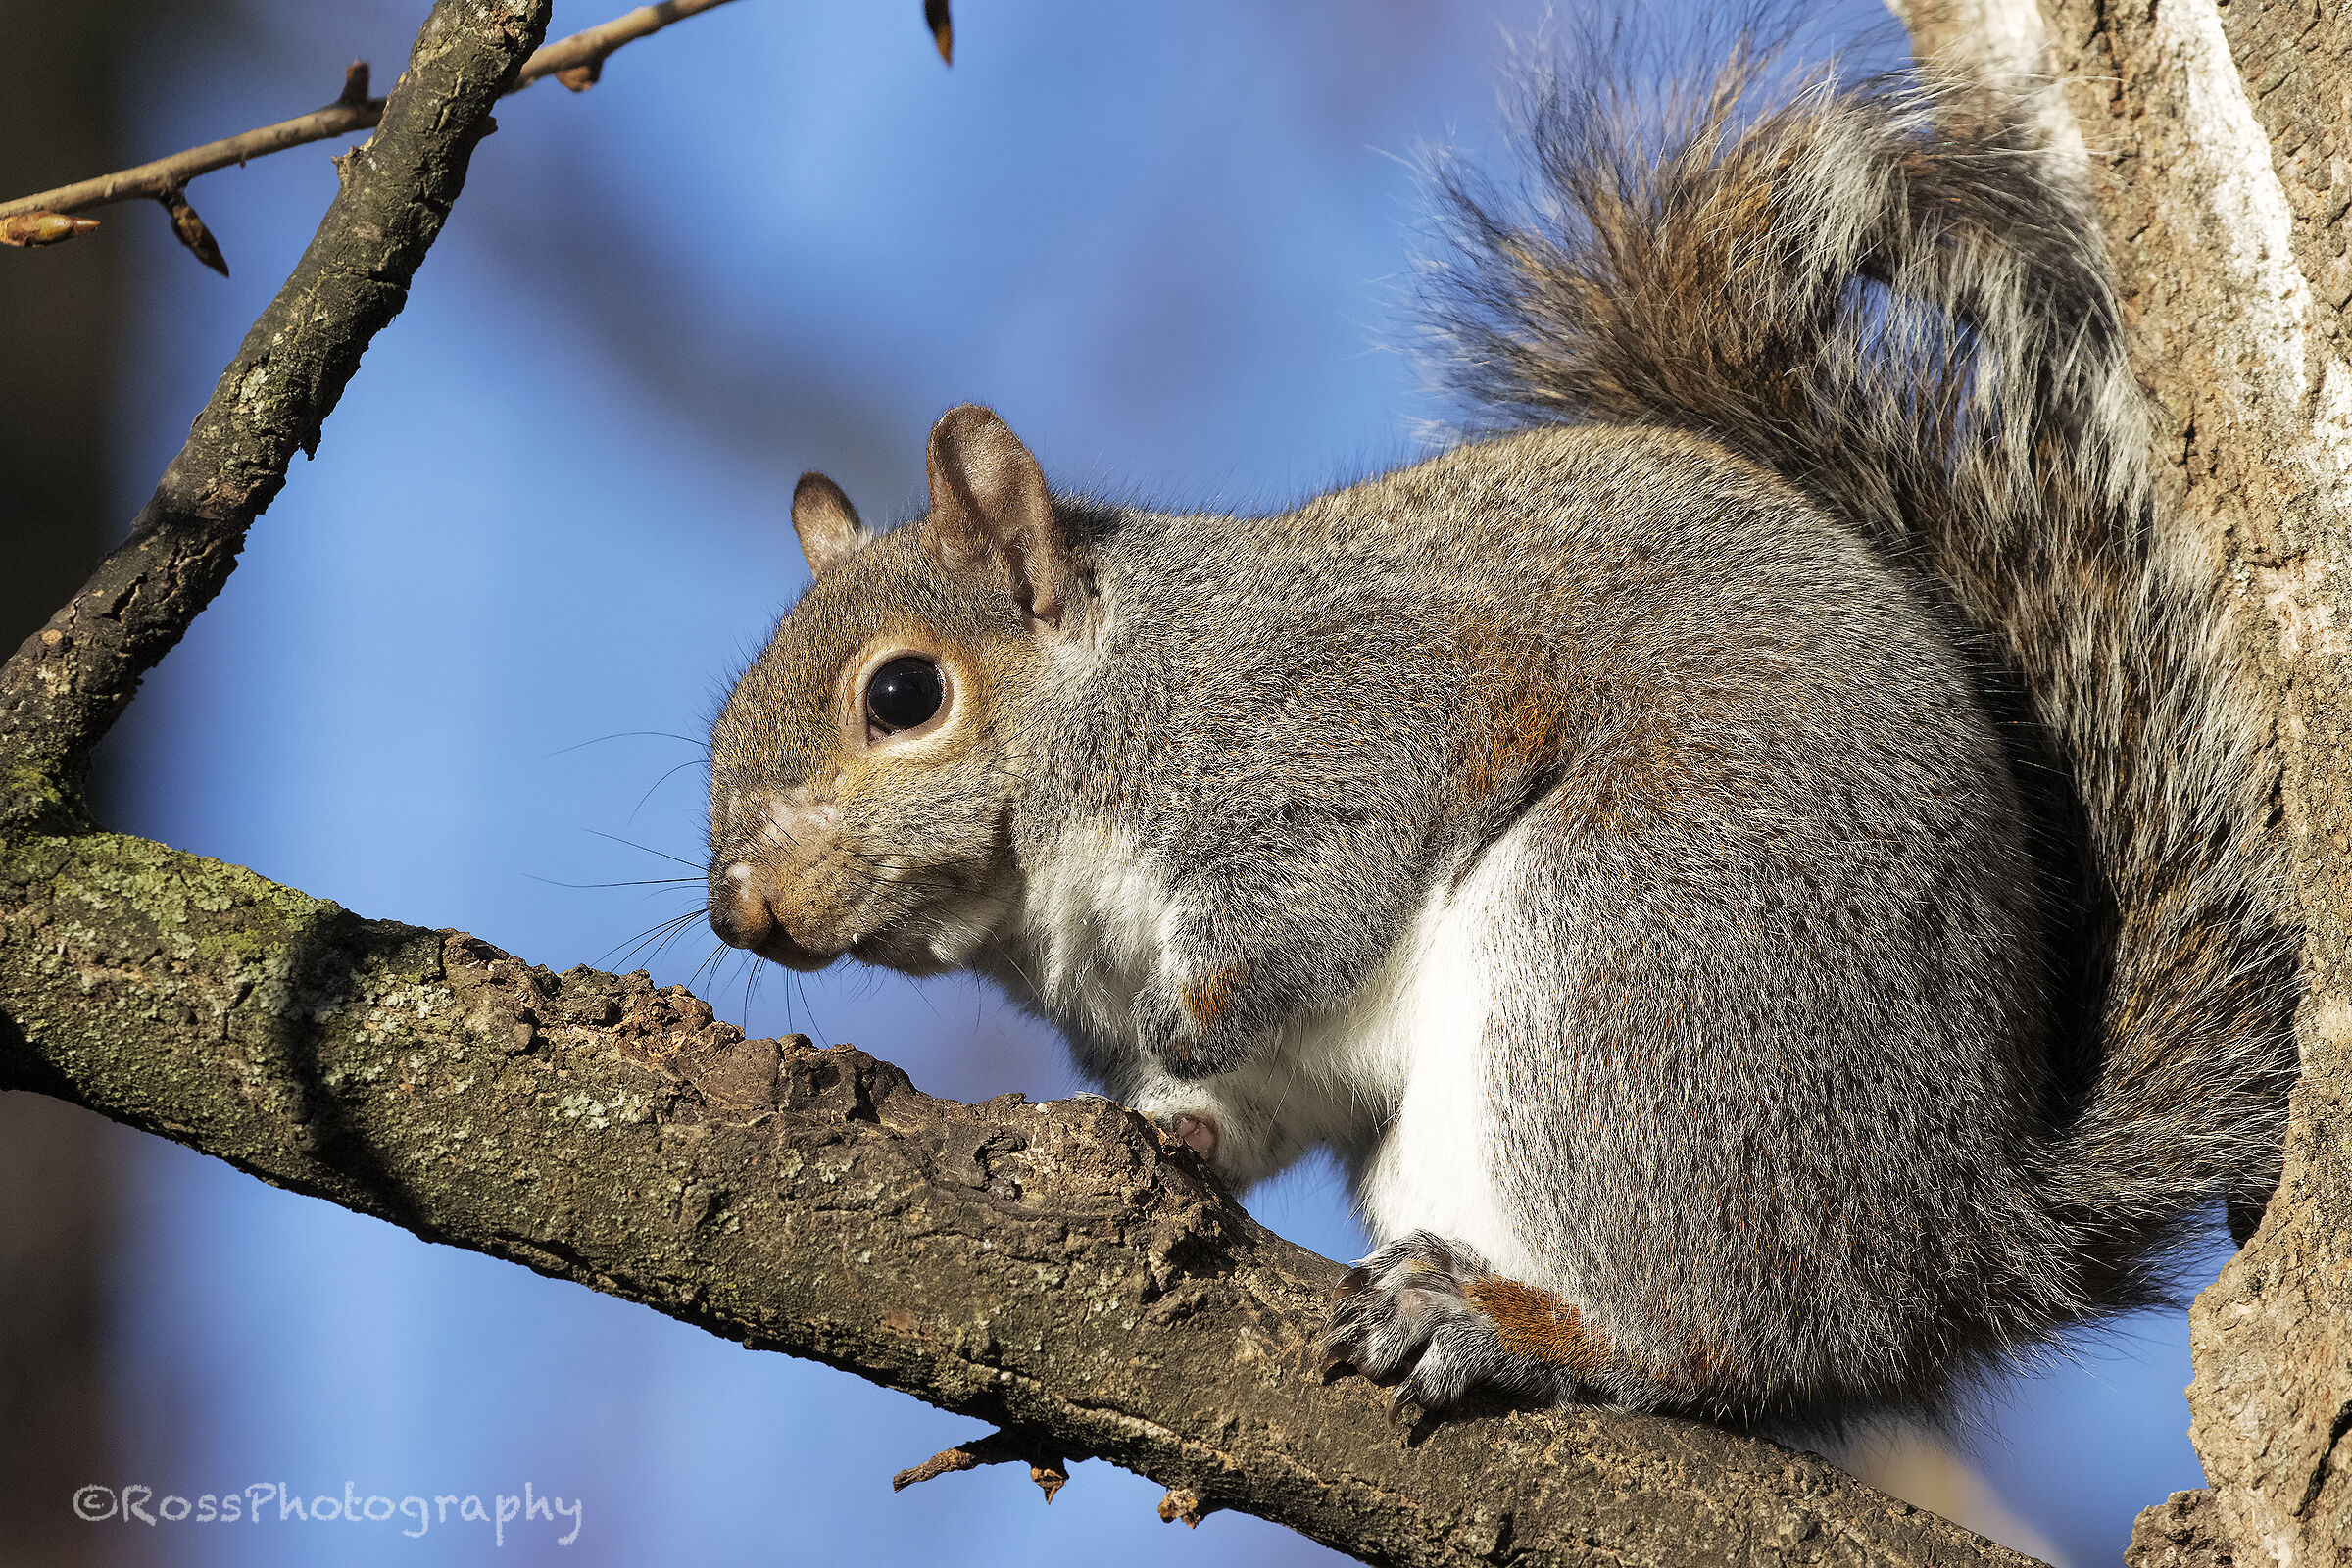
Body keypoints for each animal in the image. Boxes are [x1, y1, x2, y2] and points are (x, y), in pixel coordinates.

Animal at [701, 40, 2301, 1430]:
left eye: (903, 696)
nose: (740, 909)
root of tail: (1962, 1239)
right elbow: (1249, 1107)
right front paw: (1169, 1130)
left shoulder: (1343, 721)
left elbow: (1317, 896)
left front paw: (1190, 1016)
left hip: (1630, 969)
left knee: (1718, 1338)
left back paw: (1522, 1329)